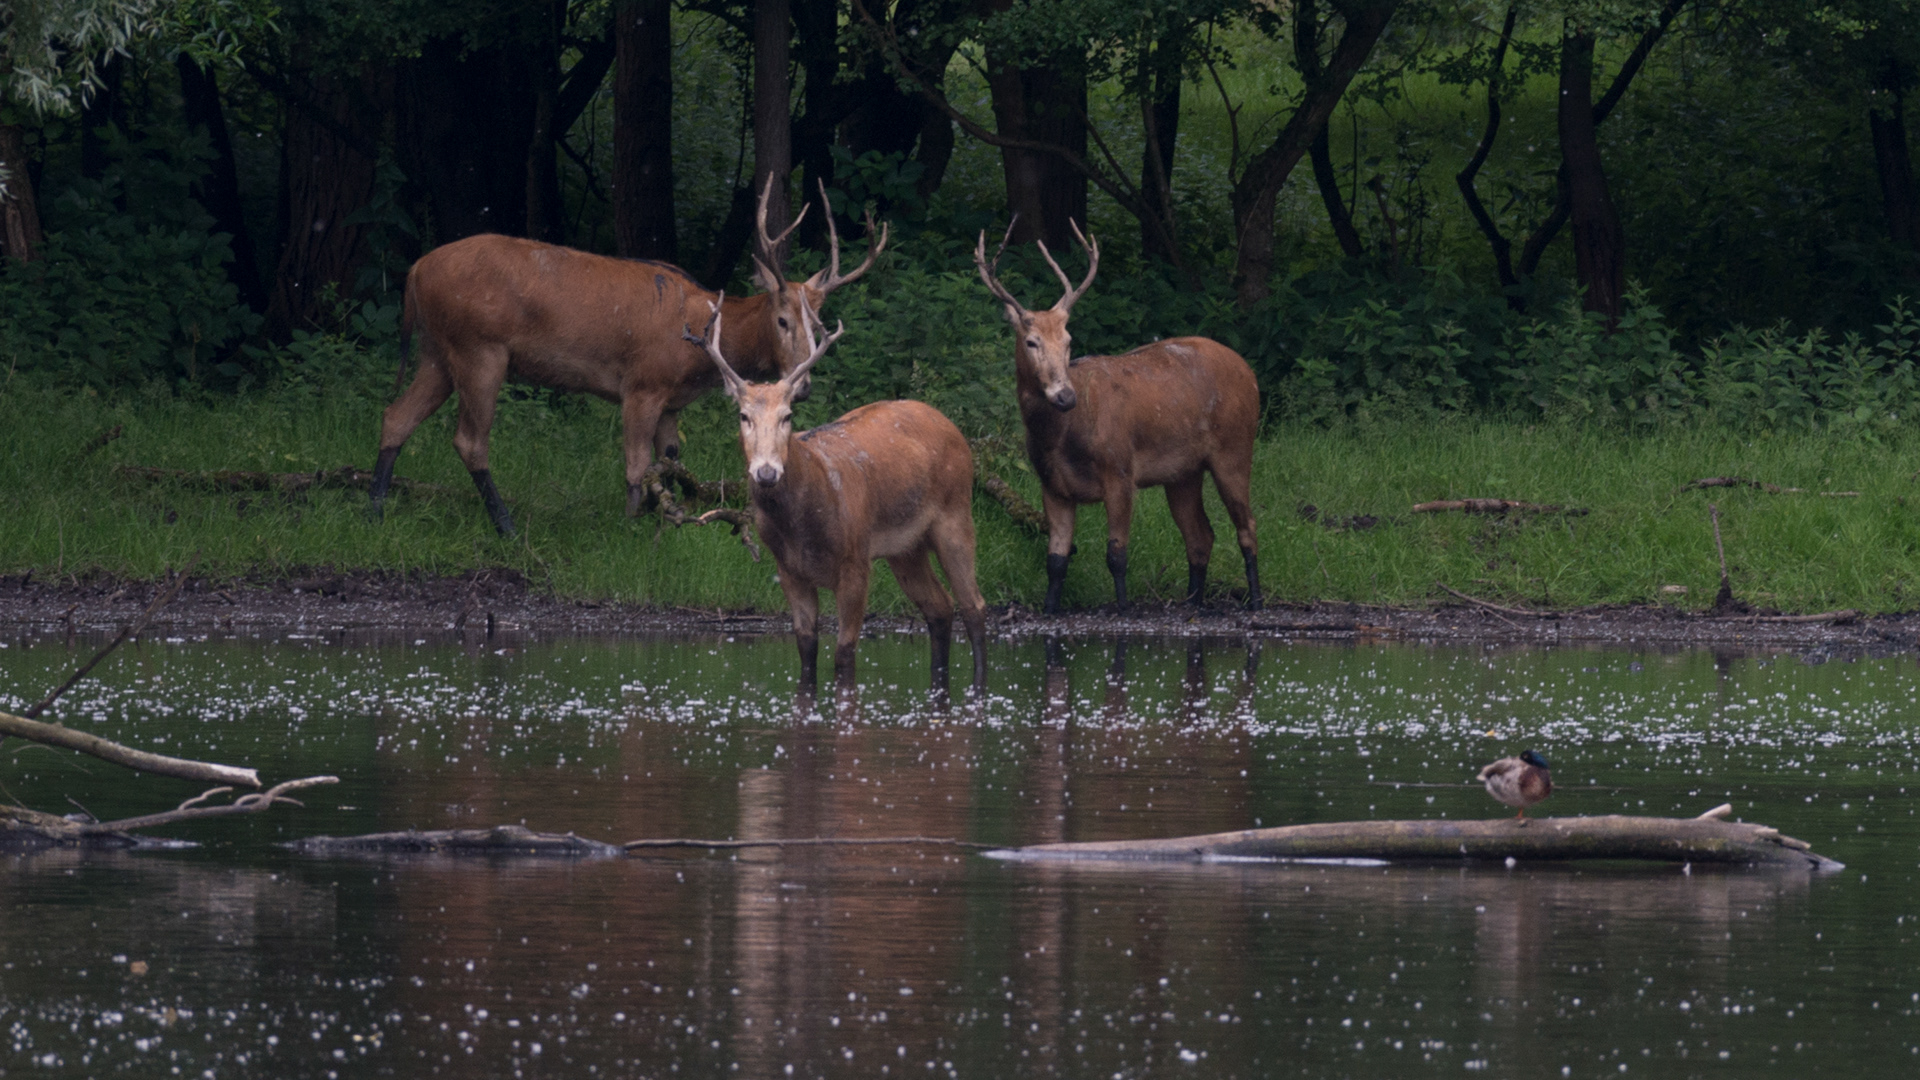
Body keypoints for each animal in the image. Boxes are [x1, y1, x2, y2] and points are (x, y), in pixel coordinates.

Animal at [367, 178, 887, 536]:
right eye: (782, 319)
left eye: (820, 324)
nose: (804, 385)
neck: (701, 349)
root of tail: (415, 271)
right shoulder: (642, 385)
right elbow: (637, 466)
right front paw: (631, 527)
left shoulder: (672, 402)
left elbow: (671, 462)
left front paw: (671, 522)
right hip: (480, 350)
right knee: (469, 440)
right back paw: (507, 526)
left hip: (439, 352)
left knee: (395, 416)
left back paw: (374, 508)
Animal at [691, 301, 988, 691]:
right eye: (743, 416)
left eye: (787, 415)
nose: (767, 472)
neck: (802, 525)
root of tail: (951, 426)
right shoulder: (788, 570)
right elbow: (807, 651)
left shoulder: (855, 561)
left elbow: (844, 655)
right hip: (905, 548)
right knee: (940, 607)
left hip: (956, 512)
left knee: (974, 606)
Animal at [974, 222, 1262, 613]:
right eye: (1031, 341)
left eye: (1068, 340)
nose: (1065, 396)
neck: (1063, 437)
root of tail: (1251, 374)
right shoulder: (1052, 484)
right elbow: (1056, 560)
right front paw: (1050, 607)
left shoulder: (1120, 470)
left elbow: (1116, 555)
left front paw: (1124, 607)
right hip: (1182, 472)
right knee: (1201, 535)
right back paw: (1192, 603)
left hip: (1235, 445)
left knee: (1247, 524)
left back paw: (1256, 601)